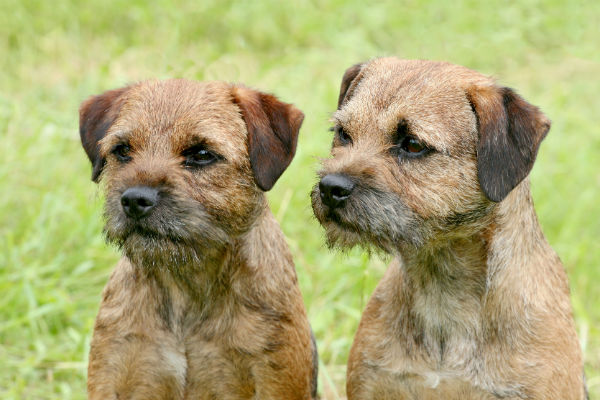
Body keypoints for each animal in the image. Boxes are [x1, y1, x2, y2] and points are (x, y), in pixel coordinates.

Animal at [82, 79, 322, 398]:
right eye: (122, 150)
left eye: (201, 154)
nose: (134, 200)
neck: (186, 287)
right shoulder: (111, 372)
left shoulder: (276, 378)